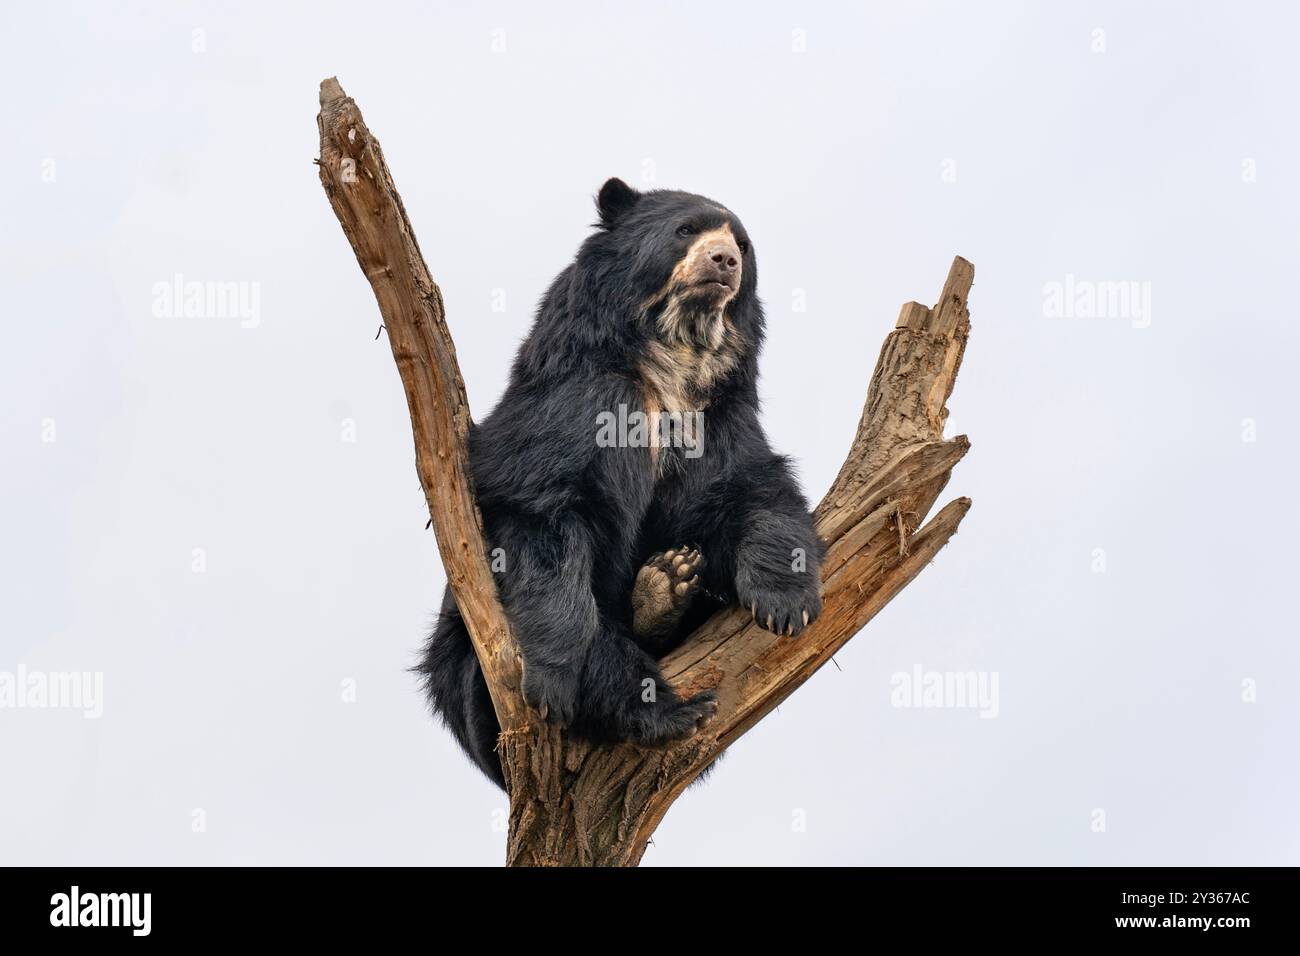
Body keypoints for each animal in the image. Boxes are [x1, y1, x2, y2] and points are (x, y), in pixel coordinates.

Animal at [417, 178, 824, 789]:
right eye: (685, 230)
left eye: (744, 246)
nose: (724, 261)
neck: (671, 363)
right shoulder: (582, 399)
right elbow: (543, 512)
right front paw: (553, 684)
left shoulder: (719, 419)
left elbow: (750, 488)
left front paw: (786, 604)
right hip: (466, 675)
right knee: (606, 655)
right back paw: (671, 707)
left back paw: (667, 586)